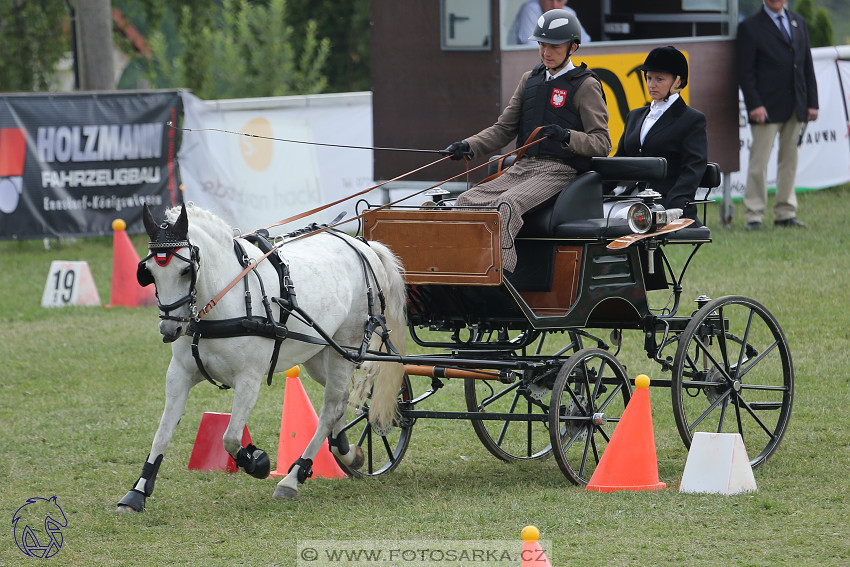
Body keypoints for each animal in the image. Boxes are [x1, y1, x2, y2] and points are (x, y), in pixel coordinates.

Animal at [117, 205, 406, 516]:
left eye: (186, 270)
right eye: (149, 272)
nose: (169, 329)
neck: (224, 299)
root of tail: (363, 245)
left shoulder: (249, 379)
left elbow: (231, 437)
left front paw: (258, 463)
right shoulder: (179, 374)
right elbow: (162, 433)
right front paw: (136, 493)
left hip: (347, 344)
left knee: (331, 408)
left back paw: (294, 477)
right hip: (321, 353)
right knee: (342, 400)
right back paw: (347, 452)